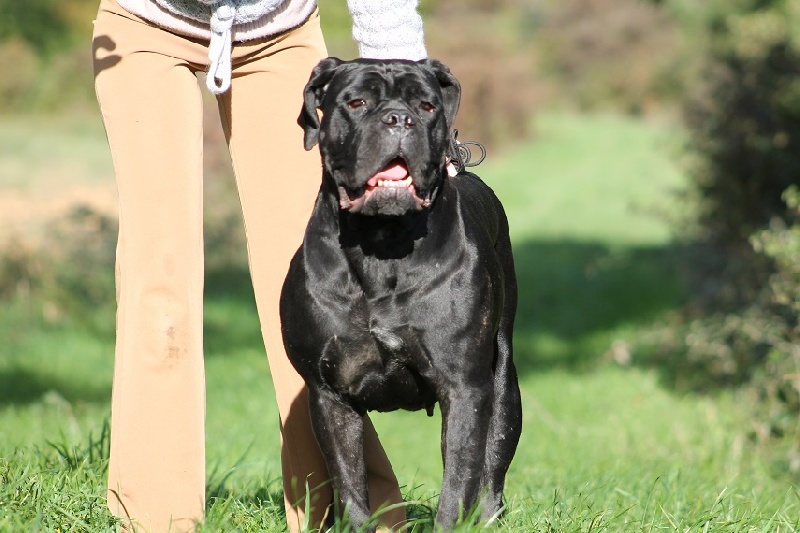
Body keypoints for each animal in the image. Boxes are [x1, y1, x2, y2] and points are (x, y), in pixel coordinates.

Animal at [282, 56, 524, 528]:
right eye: (356, 102)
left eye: (427, 106)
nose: (398, 119)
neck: (381, 245)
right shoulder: (329, 395)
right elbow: (350, 487)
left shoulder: (465, 387)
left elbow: (458, 482)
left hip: (504, 385)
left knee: (492, 473)